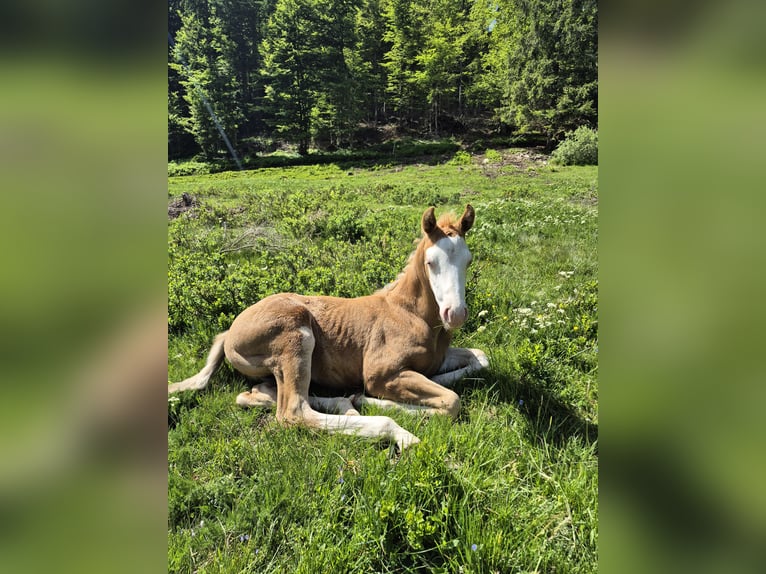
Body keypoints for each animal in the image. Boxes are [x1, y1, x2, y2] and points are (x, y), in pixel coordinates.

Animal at [168, 204, 489, 450]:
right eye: (431, 262)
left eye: (468, 260)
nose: (455, 314)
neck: (411, 315)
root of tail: (229, 333)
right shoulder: (381, 374)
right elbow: (452, 402)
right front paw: (375, 400)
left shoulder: (437, 359)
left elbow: (480, 358)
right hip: (296, 337)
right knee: (293, 412)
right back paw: (391, 429)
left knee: (257, 393)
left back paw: (342, 403)